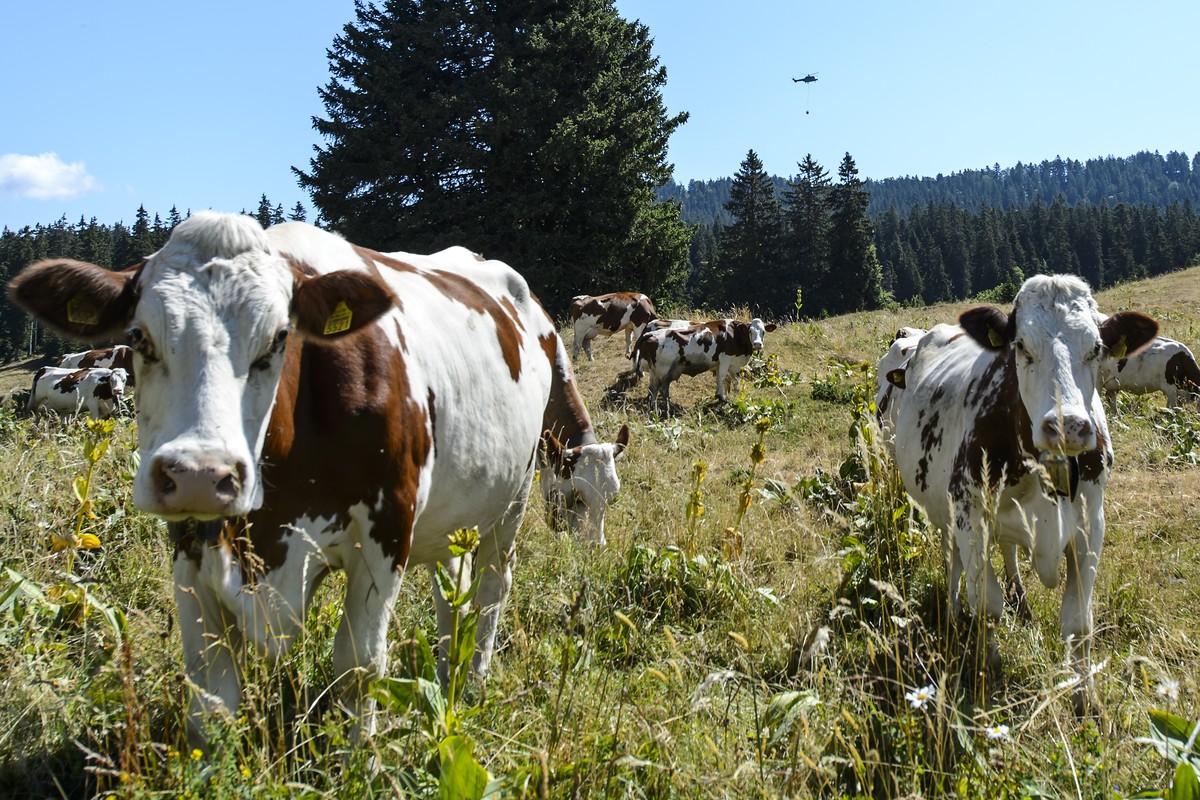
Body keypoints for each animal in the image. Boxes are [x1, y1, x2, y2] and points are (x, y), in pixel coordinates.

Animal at [8, 211, 560, 746]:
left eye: (278, 338)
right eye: (138, 337)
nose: (200, 475)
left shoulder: (387, 528)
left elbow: (359, 666)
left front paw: (361, 758)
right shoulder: (192, 542)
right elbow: (210, 693)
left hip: (515, 493)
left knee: (491, 587)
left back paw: (474, 682)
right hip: (451, 517)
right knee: (453, 588)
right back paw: (447, 674)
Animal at [636, 318, 778, 408]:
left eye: (764, 331)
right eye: (750, 331)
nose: (758, 344)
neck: (735, 335)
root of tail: (651, 334)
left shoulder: (730, 363)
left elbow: (732, 380)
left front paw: (730, 395)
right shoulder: (725, 358)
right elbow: (722, 378)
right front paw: (721, 397)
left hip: (655, 370)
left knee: (653, 388)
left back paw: (654, 408)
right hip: (664, 369)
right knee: (661, 388)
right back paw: (667, 407)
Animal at [891, 274, 1158, 713]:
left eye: (1096, 349)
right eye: (1021, 346)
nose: (1068, 426)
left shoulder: (1091, 523)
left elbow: (1079, 621)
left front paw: (1085, 699)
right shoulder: (970, 513)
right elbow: (987, 606)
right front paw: (991, 676)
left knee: (1009, 550)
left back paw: (1021, 600)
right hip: (944, 512)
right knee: (953, 561)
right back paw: (953, 613)